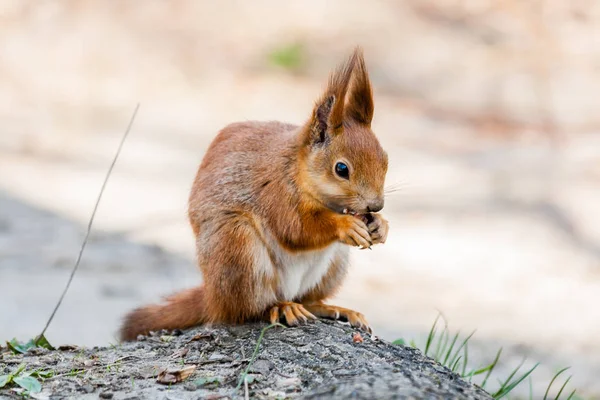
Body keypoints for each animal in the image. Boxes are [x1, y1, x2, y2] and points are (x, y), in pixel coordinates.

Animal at [118, 47, 390, 340]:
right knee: (247, 310)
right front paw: (346, 225)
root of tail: (212, 297)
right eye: (341, 169)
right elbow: (296, 228)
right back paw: (281, 308)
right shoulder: (277, 193)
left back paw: (335, 309)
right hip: (237, 248)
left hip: (333, 266)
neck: (298, 169)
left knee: (307, 300)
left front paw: (381, 226)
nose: (376, 205)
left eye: (386, 160)